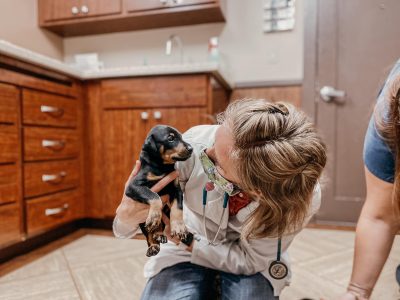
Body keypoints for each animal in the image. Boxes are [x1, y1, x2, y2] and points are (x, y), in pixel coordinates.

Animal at [125, 125, 194, 256]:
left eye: (181, 136)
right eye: (170, 138)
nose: (191, 148)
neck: (162, 167)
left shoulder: (176, 189)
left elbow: (178, 208)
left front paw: (179, 228)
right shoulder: (133, 186)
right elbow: (154, 196)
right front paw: (154, 216)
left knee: (159, 228)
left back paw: (160, 235)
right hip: (142, 222)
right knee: (149, 234)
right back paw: (153, 247)